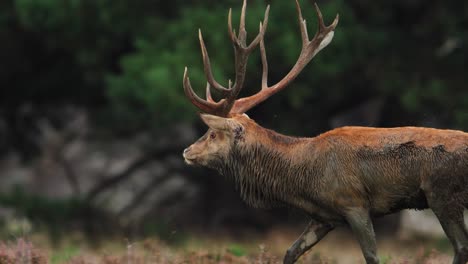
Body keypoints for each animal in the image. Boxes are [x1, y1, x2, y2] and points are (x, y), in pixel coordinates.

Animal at [180, 1, 468, 262]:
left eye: (213, 133)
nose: (187, 151)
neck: (303, 179)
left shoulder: (354, 203)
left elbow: (372, 256)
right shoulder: (323, 217)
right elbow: (290, 252)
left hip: (443, 193)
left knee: (460, 247)